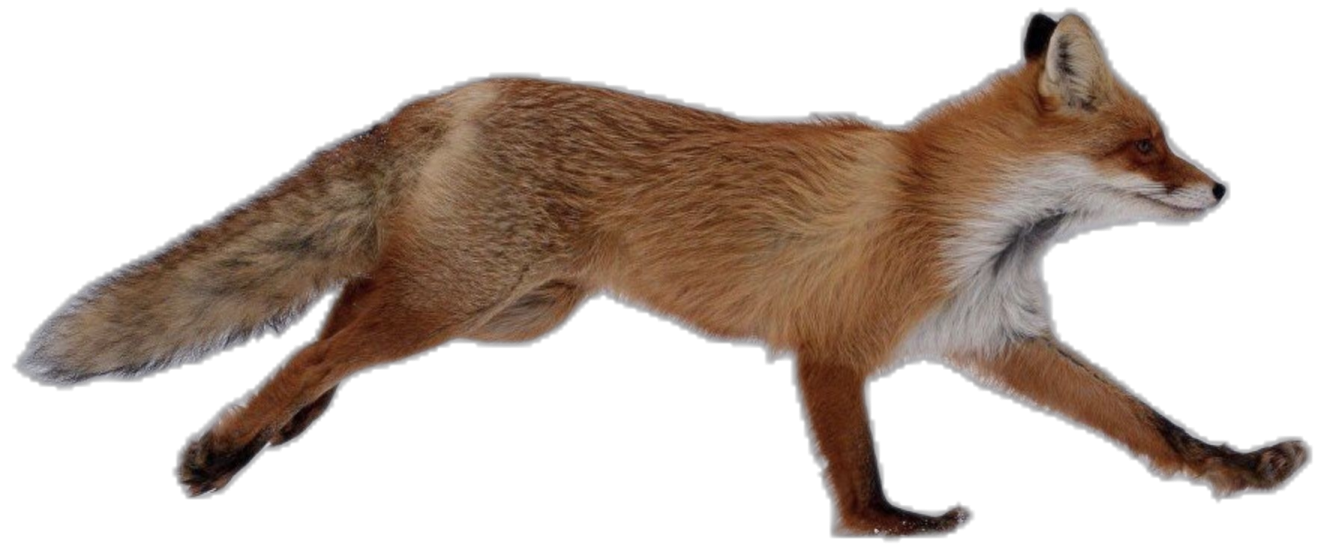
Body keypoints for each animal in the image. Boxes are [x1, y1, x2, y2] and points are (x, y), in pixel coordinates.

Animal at [16, 12, 1309, 537]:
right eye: (1148, 145)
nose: (1220, 190)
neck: (957, 208)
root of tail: (460, 89)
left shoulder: (999, 336)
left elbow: (1145, 421)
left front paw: (1235, 469)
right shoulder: (831, 347)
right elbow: (854, 461)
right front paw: (885, 528)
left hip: (506, 315)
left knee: (335, 318)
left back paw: (279, 431)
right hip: (466, 300)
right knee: (323, 338)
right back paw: (223, 450)